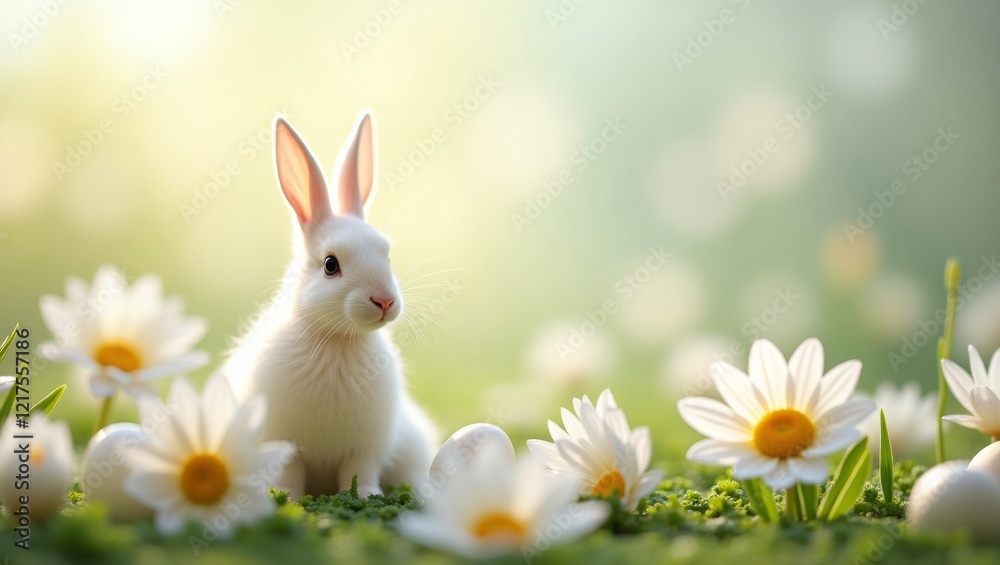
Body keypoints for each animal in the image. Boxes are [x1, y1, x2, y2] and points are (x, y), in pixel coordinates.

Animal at [221, 110, 438, 499]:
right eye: (330, 265)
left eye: (386, 252)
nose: (384, 300)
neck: (338, 339)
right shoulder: (285, 444)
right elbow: (290, 474)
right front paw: (289, 498)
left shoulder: (364, 448)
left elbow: (360, 473)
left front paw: (368, 496)